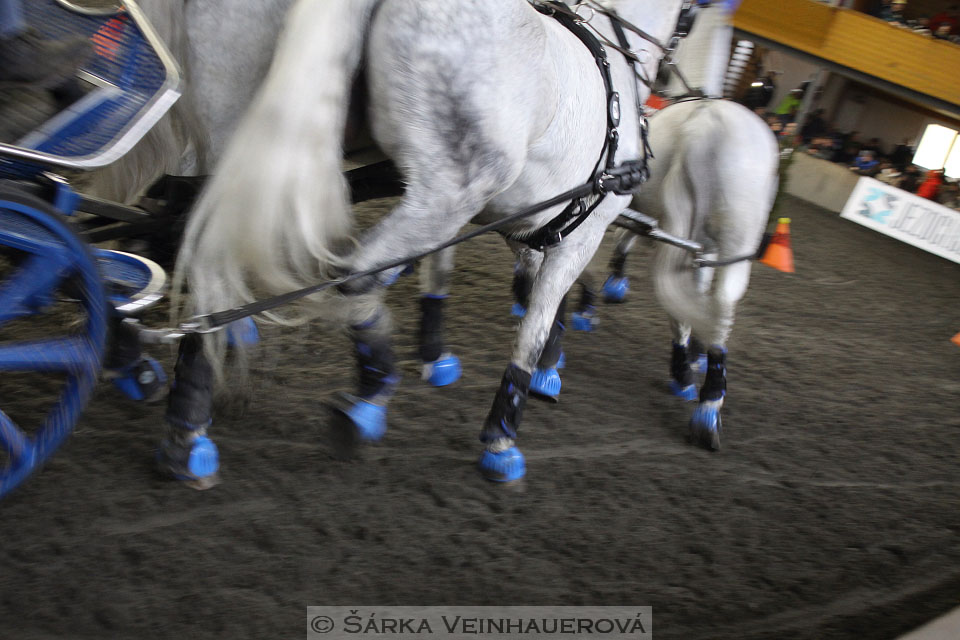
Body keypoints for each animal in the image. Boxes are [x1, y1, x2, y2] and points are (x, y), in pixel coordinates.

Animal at [169, 0, 688, 482]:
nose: (679, 92)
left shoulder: (511, 221)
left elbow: (469, 277)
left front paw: (457, 356)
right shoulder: (579, 232)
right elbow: (536, 320)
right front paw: (504, 432)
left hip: (242, 130)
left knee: (213, 259)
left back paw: (191, 421)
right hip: (448, 191)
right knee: (353, 274)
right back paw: (369, 391)